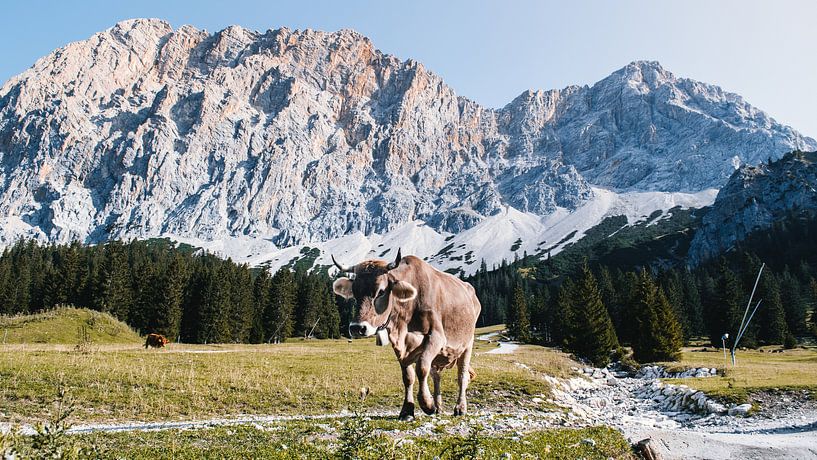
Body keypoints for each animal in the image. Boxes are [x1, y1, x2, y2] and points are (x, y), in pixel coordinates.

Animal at [334, 248, 482, 420]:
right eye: (355, 293)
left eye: (381, 292)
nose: (357, 328)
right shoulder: (401, 346)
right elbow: (408, 376)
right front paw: (407, 410)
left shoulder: (436, 337)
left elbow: (422, 367)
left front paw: (427, 404)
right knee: (436, 375)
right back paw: (438, 406)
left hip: (468, 343)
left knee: (462, 376)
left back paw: (460, 407)